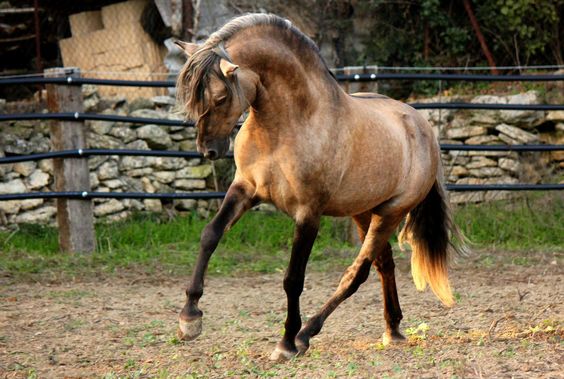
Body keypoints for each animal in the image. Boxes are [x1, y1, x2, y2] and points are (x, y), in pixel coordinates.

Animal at [175, 12, 462, 362]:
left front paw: (285, 343)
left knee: (357, 273)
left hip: (390, 214)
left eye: (220, 97)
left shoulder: (308, 213)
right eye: (192, 97)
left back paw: (305, 334)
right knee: (384, 264)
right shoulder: (245, 190)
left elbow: (293, 278)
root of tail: (423, 128)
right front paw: (190, 318)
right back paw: (392, 330)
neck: (288, 125)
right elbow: (210, 235)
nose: (208, 151)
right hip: (364, 213)